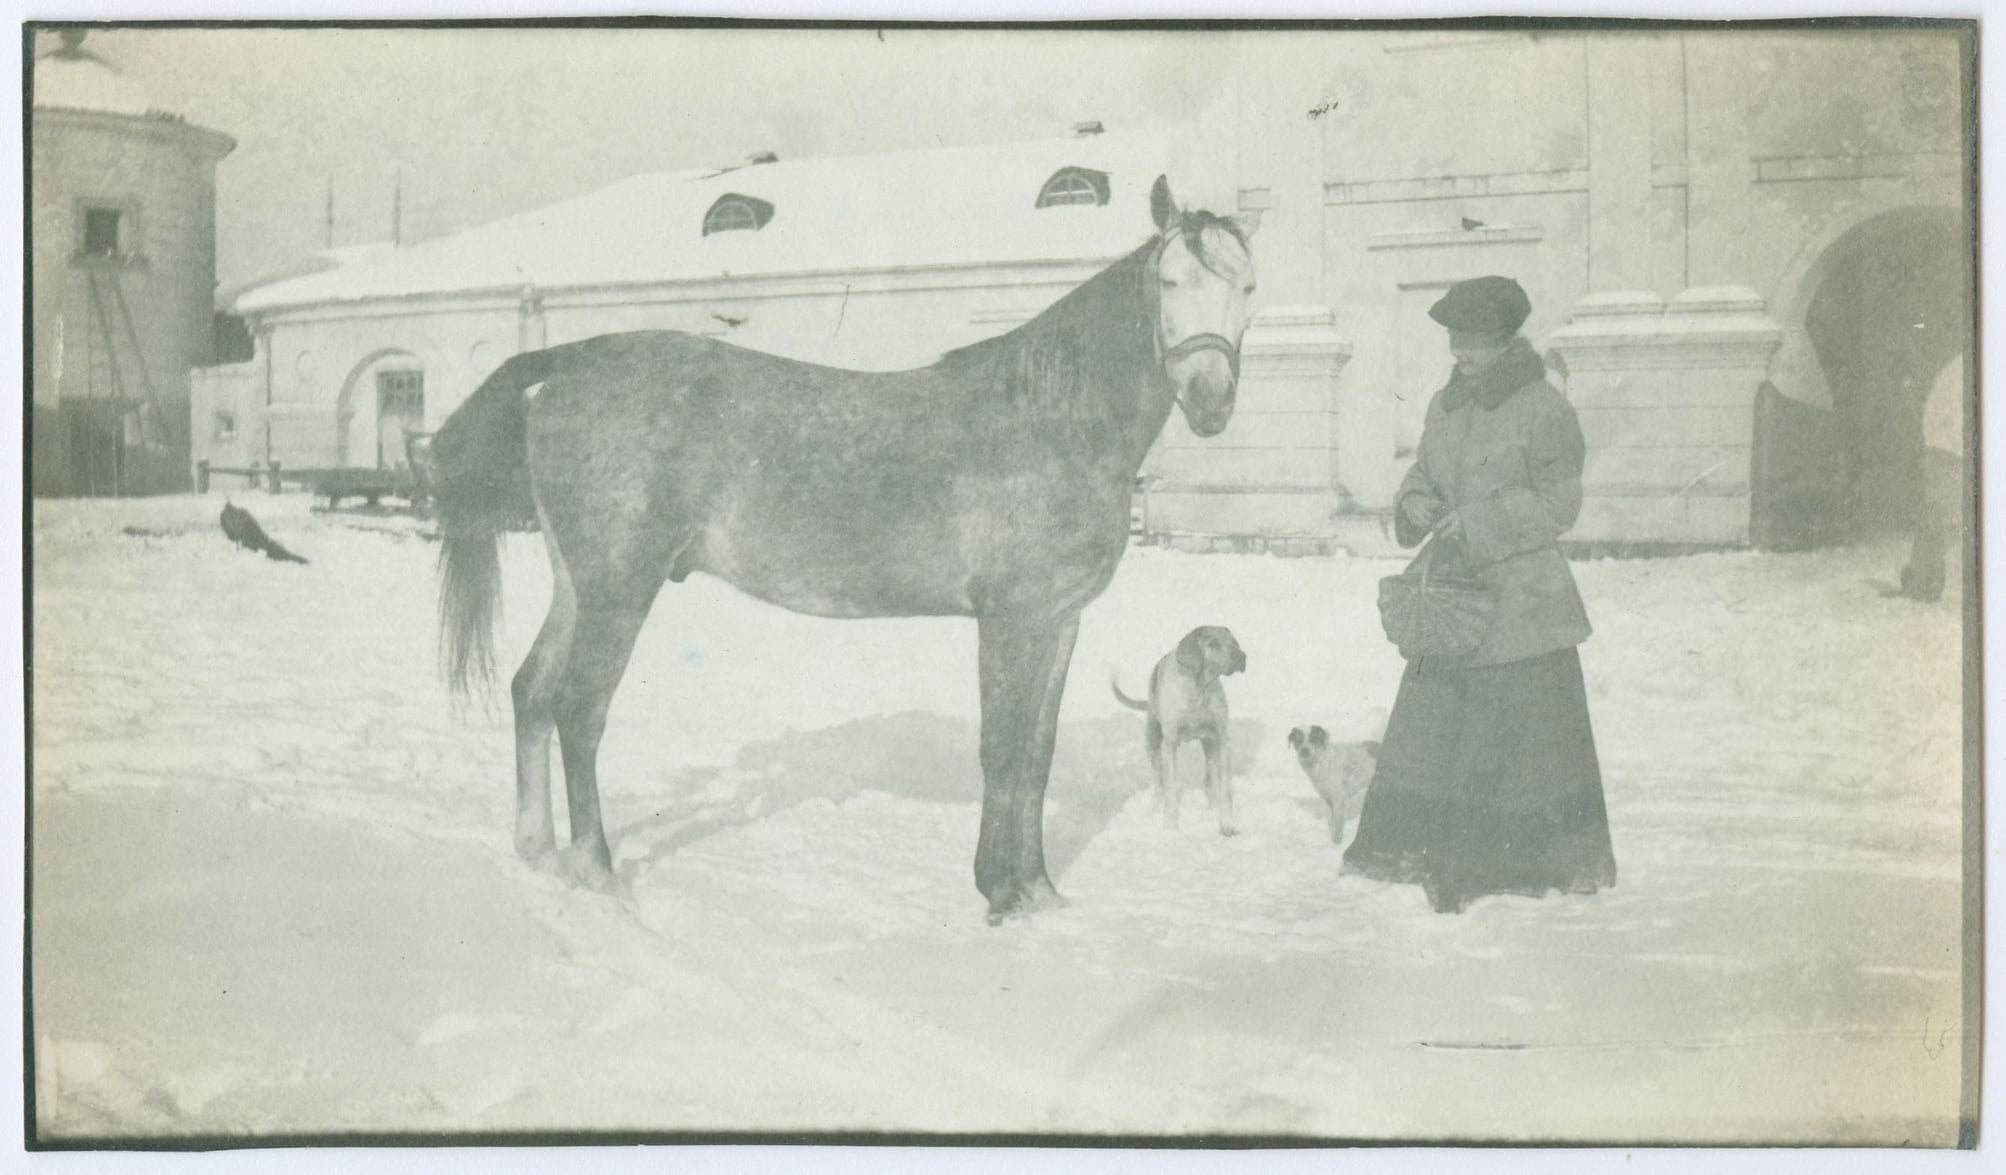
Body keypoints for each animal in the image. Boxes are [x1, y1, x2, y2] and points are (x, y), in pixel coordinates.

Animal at [1107, 621, 1243, 834]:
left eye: (1234, 642)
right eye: (1213, 644)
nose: (1241, 656)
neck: (1198, 689)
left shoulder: (1222, 741)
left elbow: (1225, 790)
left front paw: (1227, 824)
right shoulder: (1169, 745)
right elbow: (1170, 793)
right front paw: (1170, 830)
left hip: (1210, 747)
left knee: (1210, 781)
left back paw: (1211, 808)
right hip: (1153, 742)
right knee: (1158, 783)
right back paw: (1154, 807)